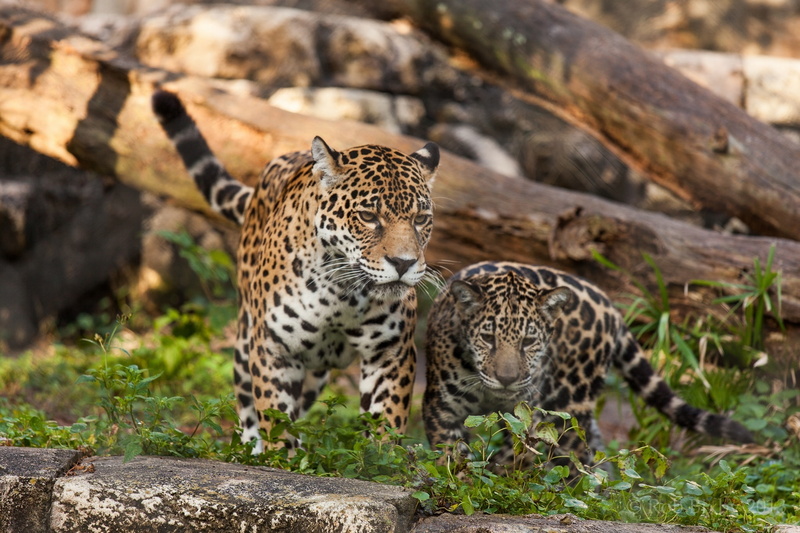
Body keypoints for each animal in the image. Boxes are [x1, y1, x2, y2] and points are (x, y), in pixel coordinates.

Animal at [152, 90, 440, 452]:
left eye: (421, 219)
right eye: (368, 216)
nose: (403, 263)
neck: (342, 292)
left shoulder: (391, 353)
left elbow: (385, 421)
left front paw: (383, 456)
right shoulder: (274, 350)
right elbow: (275, 418)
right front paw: (281, 457)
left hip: (315, 374)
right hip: (245, 340)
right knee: (248, 407)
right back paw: (251, 449)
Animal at [423, 260, 754, 470]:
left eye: (528, 341)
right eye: (488, 338)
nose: (507, 379)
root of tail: (611, 308)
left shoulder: (528, 414)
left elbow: (519, 453)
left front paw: (498, 478)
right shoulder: (441, 408)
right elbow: (450, 456)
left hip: (569, 403)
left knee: (576, 457)